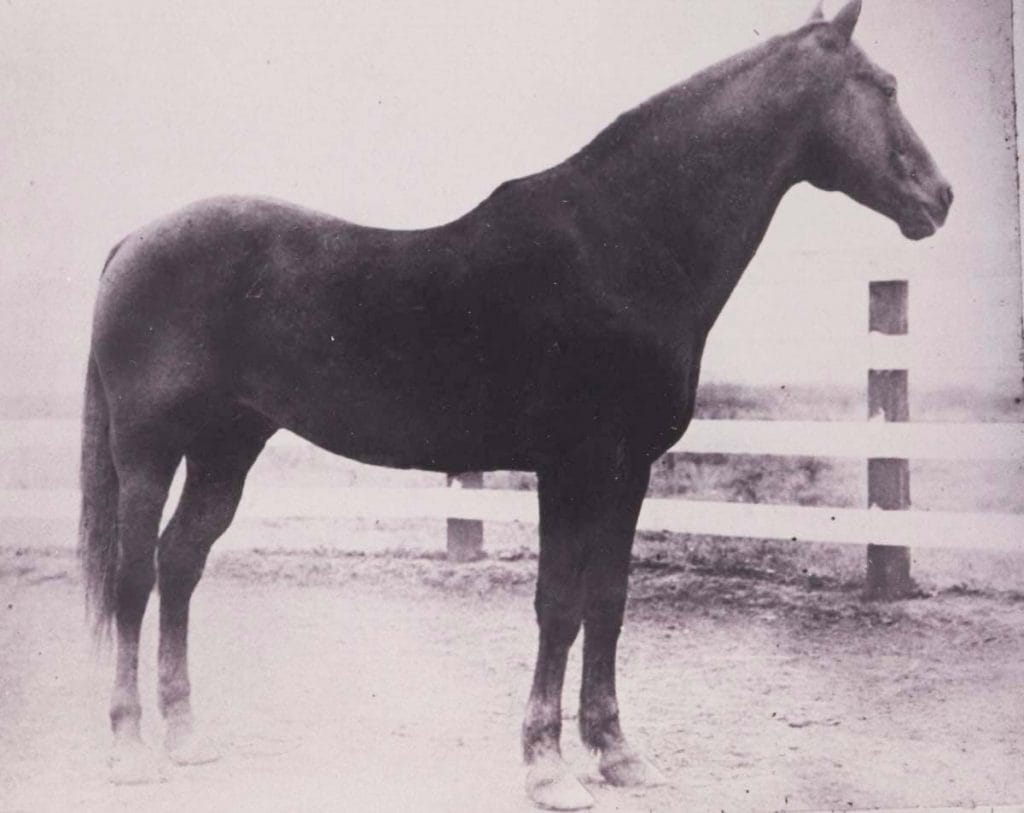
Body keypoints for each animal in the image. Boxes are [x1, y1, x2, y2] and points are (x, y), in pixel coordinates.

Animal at [79, 1, 951, 808]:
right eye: (884, 85)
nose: (940, 196)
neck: (621, 246)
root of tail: (133, 241)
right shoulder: (571, 467)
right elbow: (558, 606)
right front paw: (547, 767)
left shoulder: (627, 471)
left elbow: (609, 599)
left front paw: (618, 753)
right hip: (150, 451)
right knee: (133, 575)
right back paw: (127, 748)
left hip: (227, 447)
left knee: (179, 563)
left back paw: (187, 738)